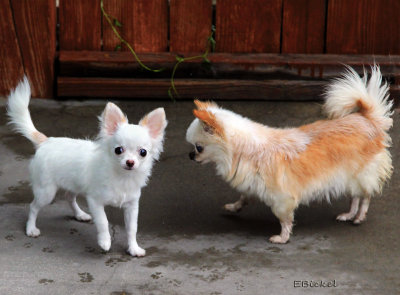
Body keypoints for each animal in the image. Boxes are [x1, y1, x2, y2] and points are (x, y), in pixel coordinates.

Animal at [7, 78, 167, 256]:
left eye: (143, 152)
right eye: (118, 150)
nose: (130, 162)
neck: (121, 176)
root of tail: (46, 141)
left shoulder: (132, 206)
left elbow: (132, 228)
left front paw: (133, 248)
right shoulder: (95, 201)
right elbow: (103, 222)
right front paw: (105, 242)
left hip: (73, 184)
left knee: (69, 197)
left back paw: (80, 215)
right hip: (46, 192)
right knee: (33, 206)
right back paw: (31, 228)